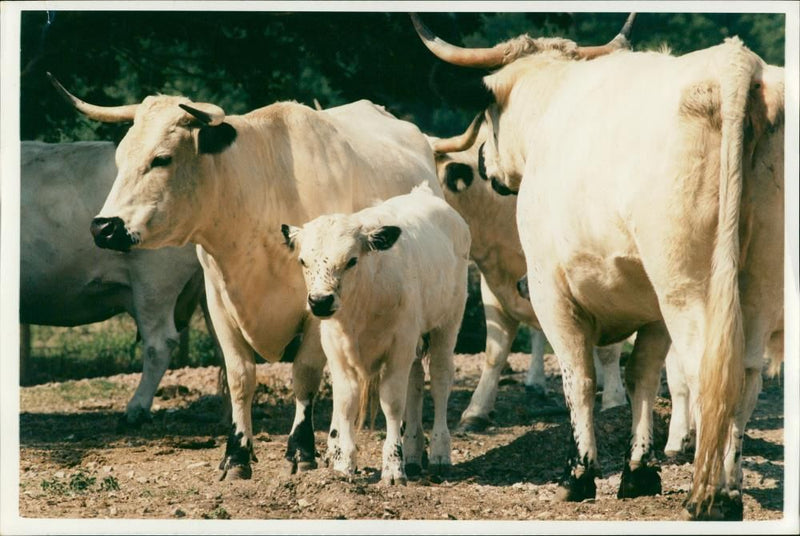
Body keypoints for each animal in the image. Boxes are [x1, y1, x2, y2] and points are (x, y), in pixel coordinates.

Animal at [48, 73, 444, 480]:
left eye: (162, 158)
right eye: (120, 158)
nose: (103, 227)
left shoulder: (316, 310)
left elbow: (305, 375)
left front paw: (301, 452)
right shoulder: (219, 303)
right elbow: (240, 378)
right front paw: (236, 455)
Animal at [280, 184, 468, 482]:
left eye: (351, 260)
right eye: (302, 261)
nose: (320, 301)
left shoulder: (399, 347)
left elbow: (391, 402)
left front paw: (393, 467)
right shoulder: (337, 352)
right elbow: (346, 402)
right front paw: (344, 464)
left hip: (447, 325)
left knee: (440, 379)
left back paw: (439, 452)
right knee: (416, 382)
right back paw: (413, 452)